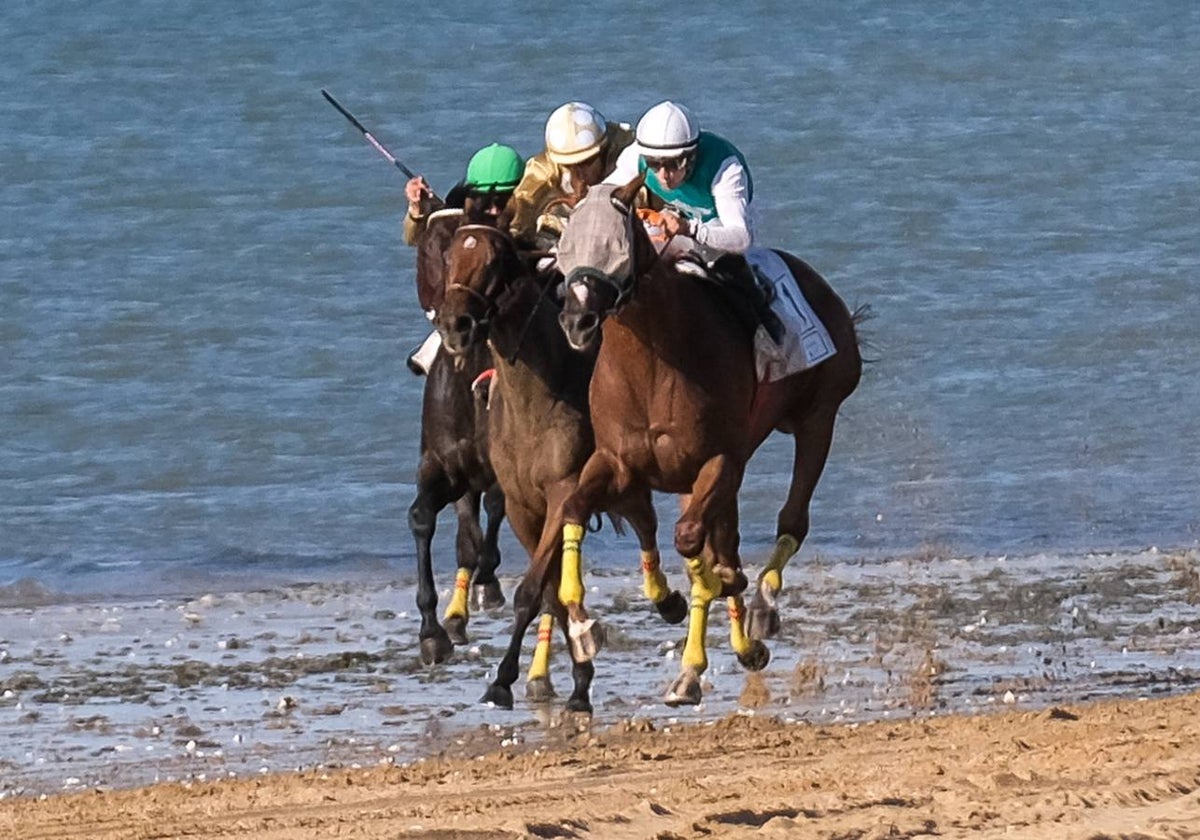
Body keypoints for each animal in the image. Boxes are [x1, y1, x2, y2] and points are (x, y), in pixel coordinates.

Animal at [436, 222, 691, 710]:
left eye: (494, 260)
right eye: (449, 258)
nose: (454, 324)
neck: (533, 402)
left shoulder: (563, 491)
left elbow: (532, 591)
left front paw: (503, 680)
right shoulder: (522, 507)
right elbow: (551, 592)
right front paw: (577, 678)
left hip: (622, 484)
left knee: (647, 526)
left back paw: (668, 601)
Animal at [552, 178, 864, 710]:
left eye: (617, 245)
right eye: (564, 245)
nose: (578, 322)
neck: (653, 364)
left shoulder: (720, 460)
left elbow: (694, 546)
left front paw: (700, 643)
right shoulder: (617, 461)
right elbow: (577, 509)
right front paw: (583, 626)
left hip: (818, 418)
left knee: (790, 520)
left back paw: (761, 607)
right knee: (724, 542)